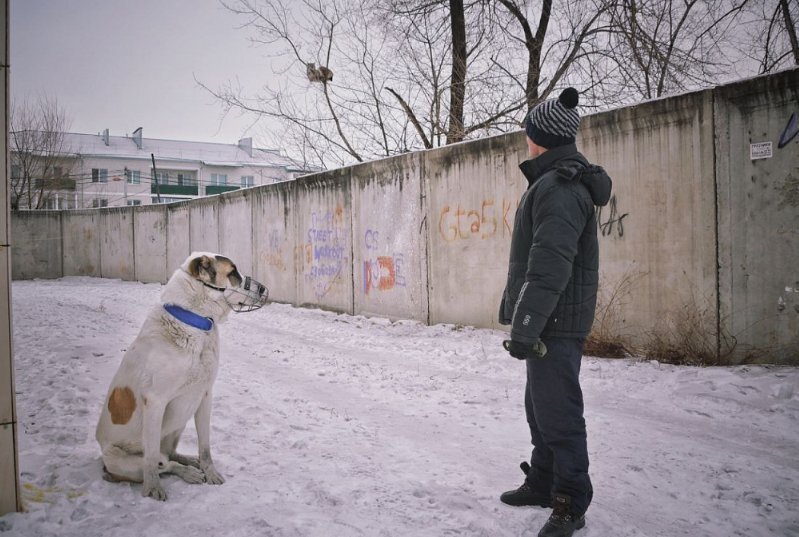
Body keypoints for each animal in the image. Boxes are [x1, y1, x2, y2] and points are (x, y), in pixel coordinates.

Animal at [95, 251, 270, 498]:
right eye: (233, 272)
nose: (263, 289)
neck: (193, 321)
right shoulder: (155, 402)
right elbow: (151, 459)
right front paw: (153, 489)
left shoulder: (204, 395)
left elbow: (205, 446)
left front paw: (210, 472)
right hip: (123, 459)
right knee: (162, 463)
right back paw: (186, 473)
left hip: (179, 421)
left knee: (170, 457)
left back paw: (191, 463)